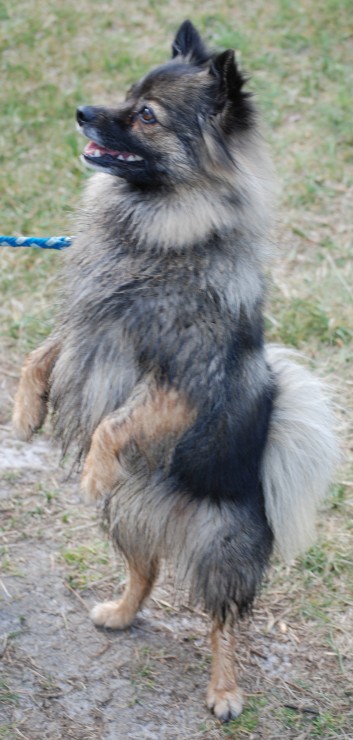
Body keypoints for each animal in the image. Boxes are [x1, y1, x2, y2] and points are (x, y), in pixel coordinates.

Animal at [12, 21, 336, 724]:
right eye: (125, 95)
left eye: (146, 116)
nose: (82, 112)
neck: (165, 231)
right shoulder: (90, 324)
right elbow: (38, 356)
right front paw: (25, 413)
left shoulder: (178, 381)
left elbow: (112, 424)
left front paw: (91, 467)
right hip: (126, 518)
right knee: (149, 572)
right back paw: (119, 612)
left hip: (220, 549)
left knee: (223, 622)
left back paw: (224, 690)